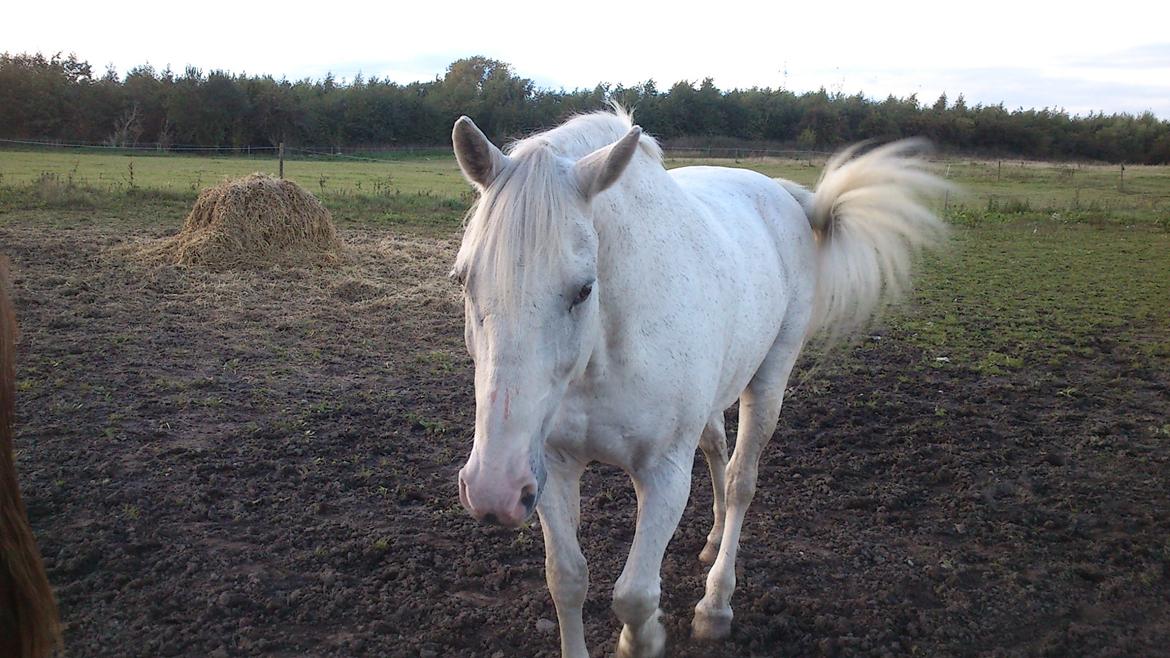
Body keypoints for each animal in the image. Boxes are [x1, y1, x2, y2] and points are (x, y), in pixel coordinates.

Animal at [451, 108, 945, 655]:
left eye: (583, 289)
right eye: (463, 280)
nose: (491, 491)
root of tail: (780, 193)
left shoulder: (664, 474)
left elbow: (635, 596)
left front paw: (645, 637)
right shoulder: (552, 467)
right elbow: (567, 579)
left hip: (769, 381)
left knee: (740, 479)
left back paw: (715, 604)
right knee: (716, 451)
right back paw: (709, 543)